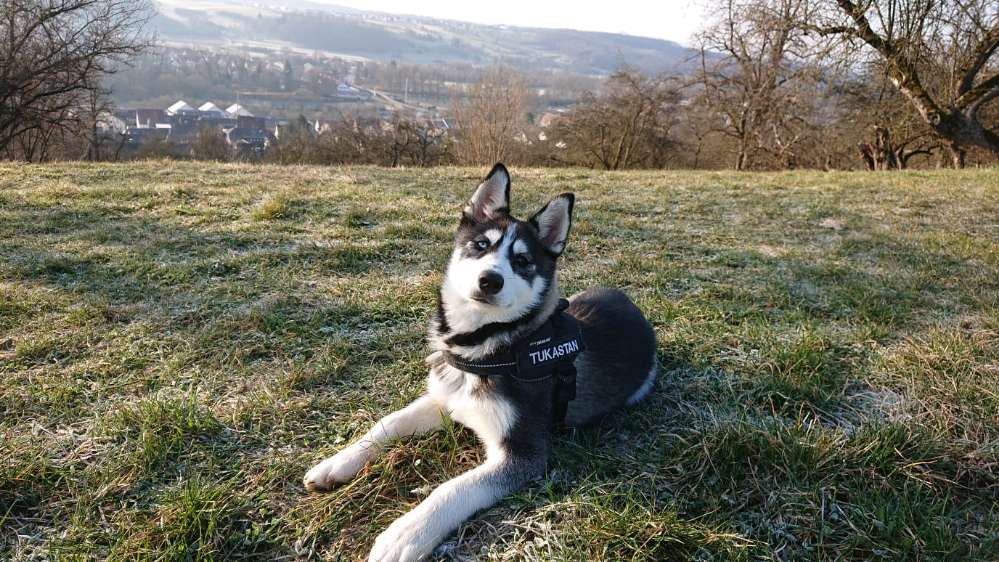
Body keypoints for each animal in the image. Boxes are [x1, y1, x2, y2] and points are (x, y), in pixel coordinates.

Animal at [304, 164, 664, 556]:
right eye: (481, 245)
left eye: (521, 261)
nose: (490, 280)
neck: (489, 348)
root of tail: (630, 304)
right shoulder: (448, 398)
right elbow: (389, 422)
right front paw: (337, 463)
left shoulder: (522, 454)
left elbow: (453, 488)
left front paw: (405, 534)